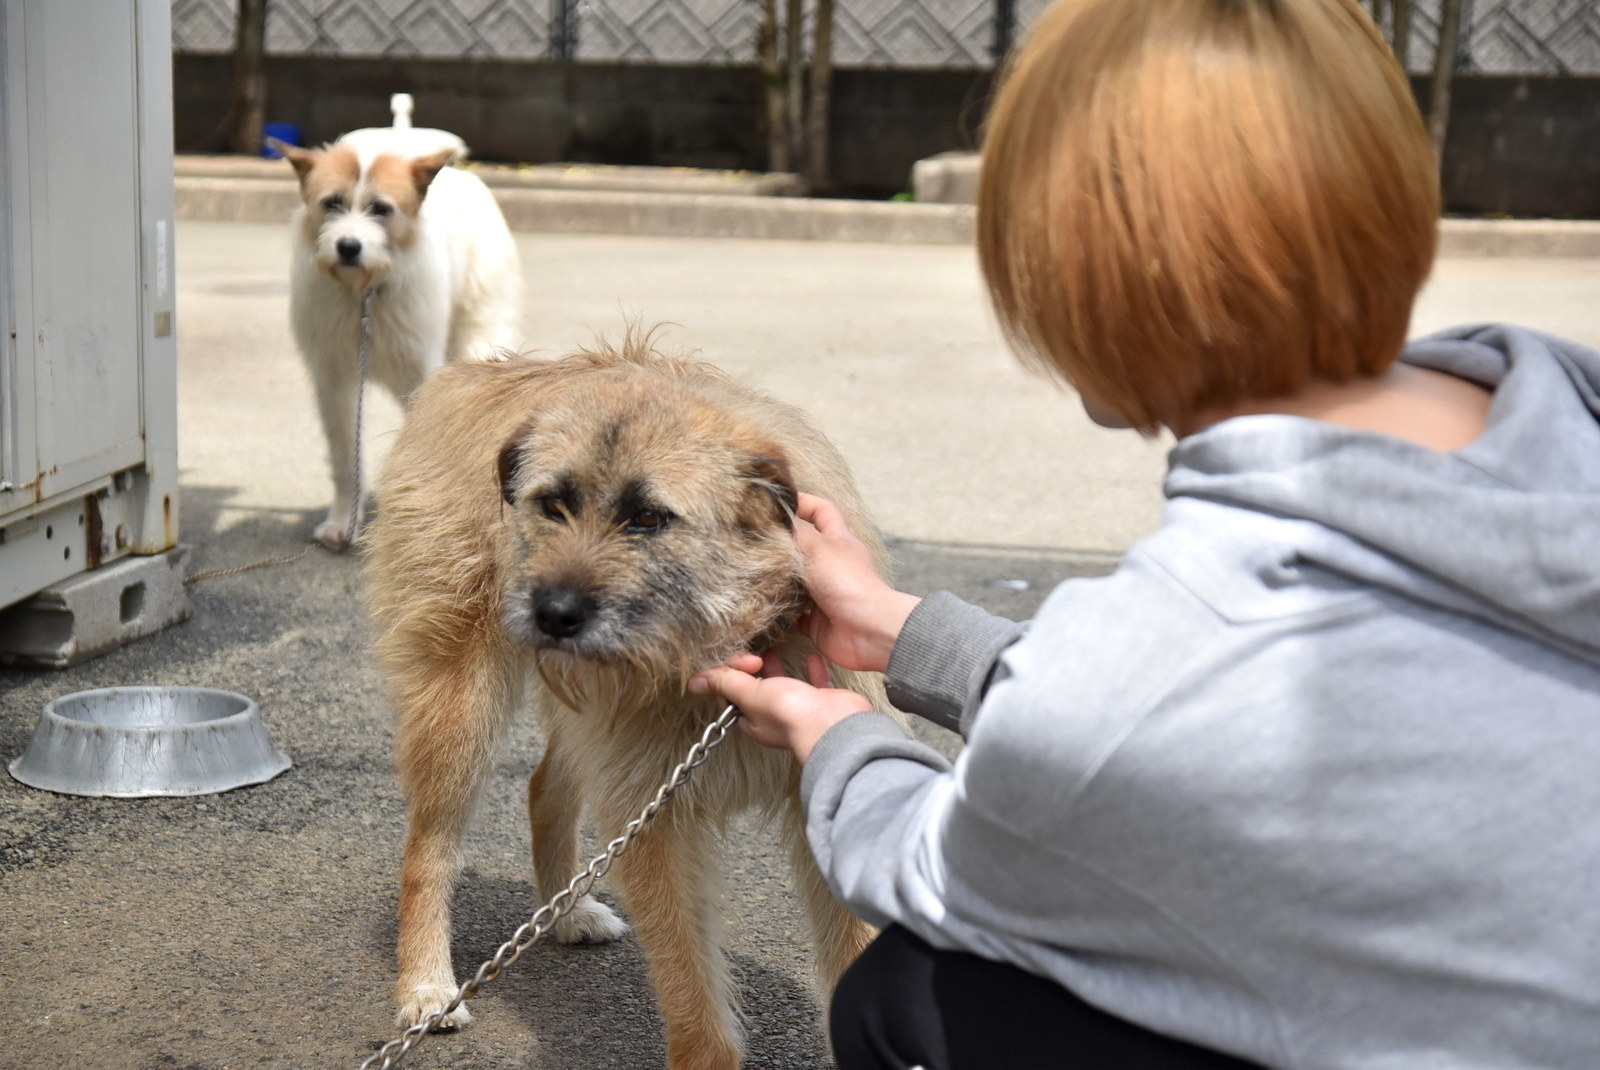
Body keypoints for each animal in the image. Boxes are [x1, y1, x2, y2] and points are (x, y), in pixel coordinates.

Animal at [272, 117, 521, 550]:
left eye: (380, 208)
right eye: (332, 203)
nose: (348, 247)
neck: (364, 295)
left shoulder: (418, 373)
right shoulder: (333, 380)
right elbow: (344, 455)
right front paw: (343, 521)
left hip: (480, 331)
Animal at [364, 329, 896, 1062]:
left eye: (647, 517)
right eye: (552, 505)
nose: (552, 613)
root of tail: (469, 375)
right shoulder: (655, 822)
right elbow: (695, 1006)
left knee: (543, 786)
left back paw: (564, 911)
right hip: (459, 709)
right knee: (430, 845)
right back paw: (426, 984)